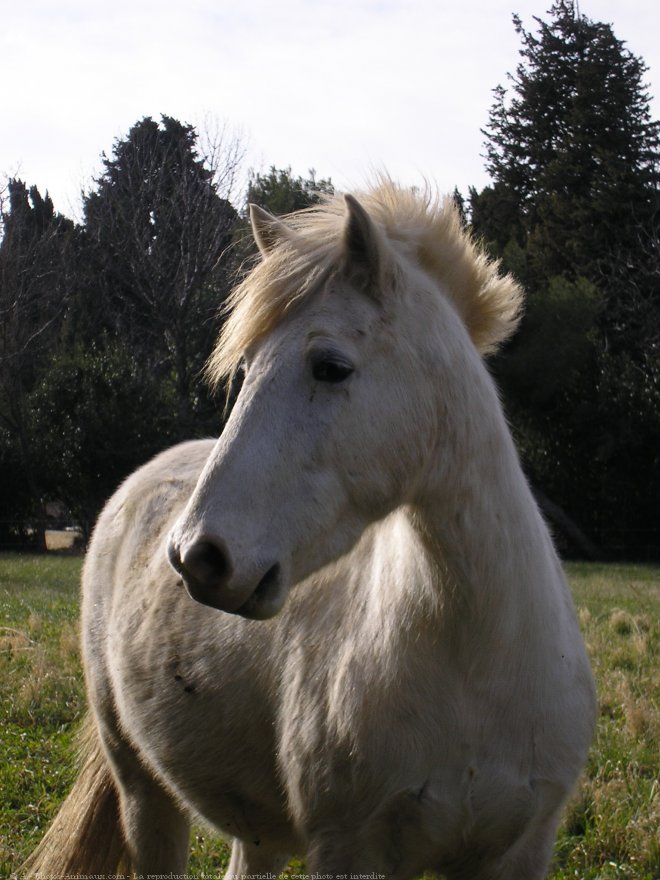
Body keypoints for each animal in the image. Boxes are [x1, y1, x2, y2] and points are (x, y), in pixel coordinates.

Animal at [25, 180, 596, 880]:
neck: (477, 665)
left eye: (330, 366)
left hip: (256, 833)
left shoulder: (523, 849)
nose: (196, 557)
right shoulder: (347, 845)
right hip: (144, 795)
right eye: (244, 370)